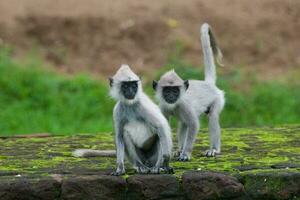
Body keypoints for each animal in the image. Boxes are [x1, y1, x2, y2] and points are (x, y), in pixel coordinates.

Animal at [152, 23, 225, 161]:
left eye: (175, 90)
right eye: (167, 90)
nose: (171, 95)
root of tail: (208, 83)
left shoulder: (184, 105)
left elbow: (194, 125)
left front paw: (186, 154)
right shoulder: (163, 106)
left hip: (218, 98)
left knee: (212, 116)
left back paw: (214, 149)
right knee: (183, 124)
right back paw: (179, 150)